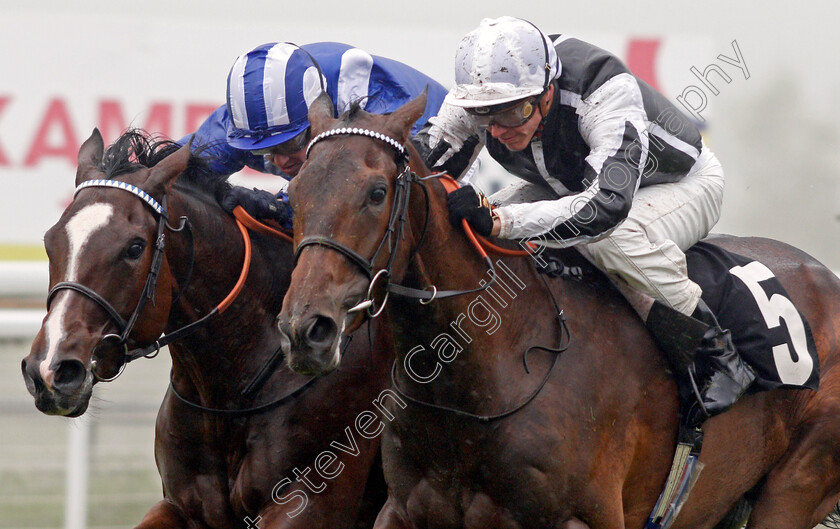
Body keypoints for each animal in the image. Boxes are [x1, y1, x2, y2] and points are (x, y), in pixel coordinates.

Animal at [19, 129, 394, 528]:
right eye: (50, 240)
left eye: (134, 247)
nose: (51, 370)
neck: (229, 393)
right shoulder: (182, 505)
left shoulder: (311, 499)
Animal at [278, 92, 840, 528]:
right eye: (294, 190)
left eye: (376, 193)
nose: (306, 329)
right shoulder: (405, 511)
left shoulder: (584, 518)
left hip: (796, 485)